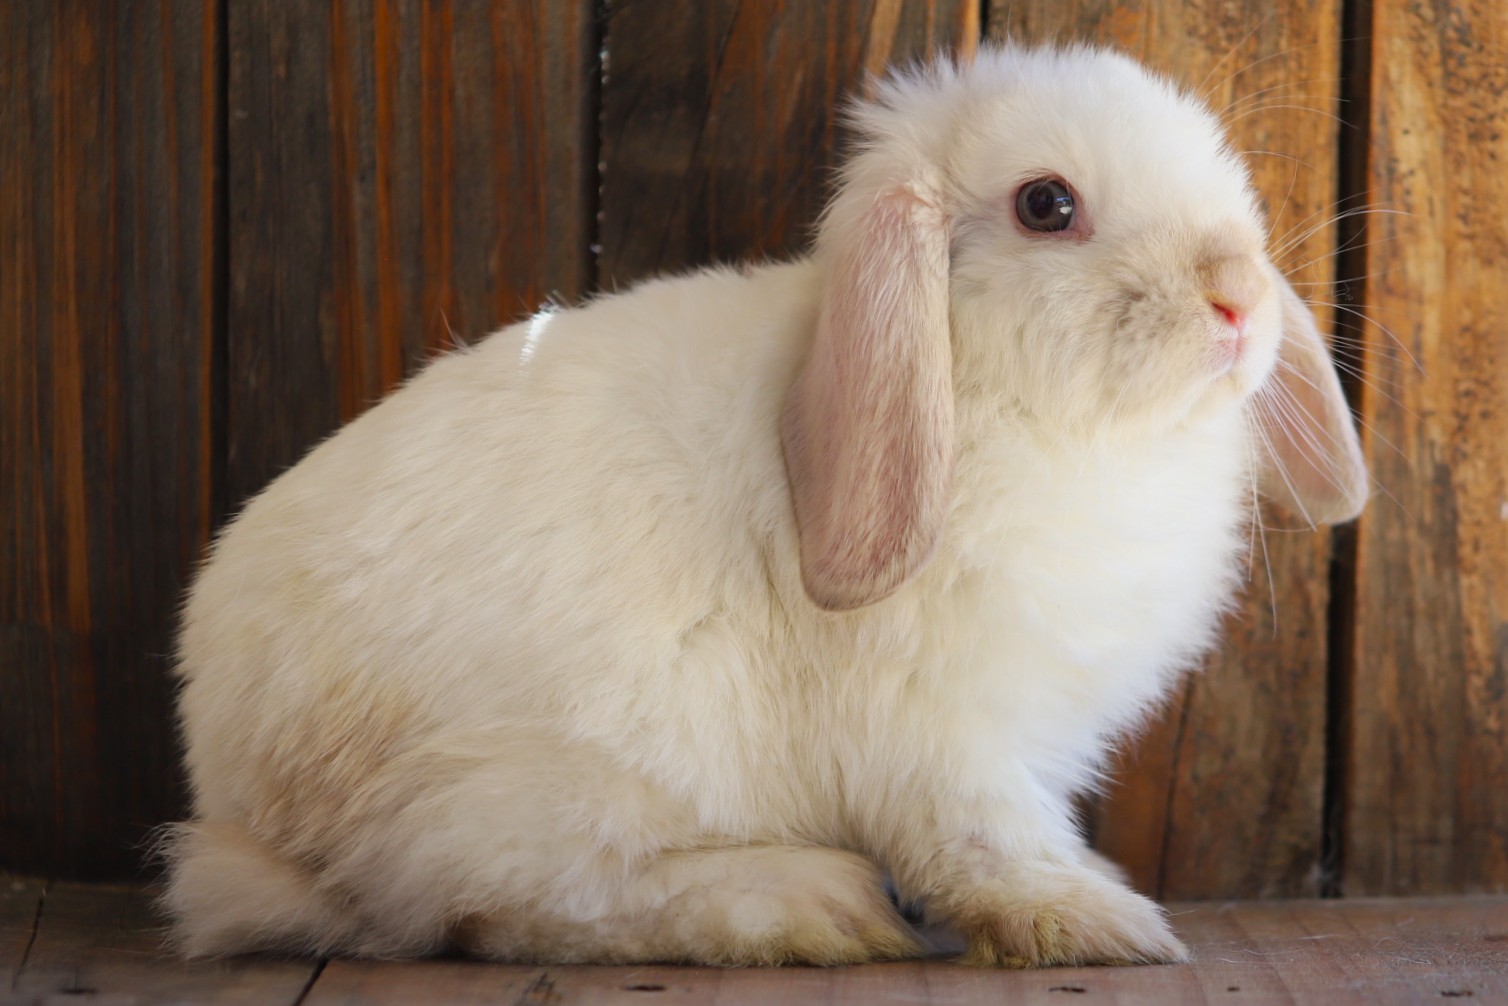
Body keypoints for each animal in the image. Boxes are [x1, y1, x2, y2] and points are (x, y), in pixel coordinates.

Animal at [161, 43, 1367, 968]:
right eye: (1047, 204)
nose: (1238, 299)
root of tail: (251, 806)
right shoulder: (945, 736)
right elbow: (990, 846)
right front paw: (1102, 921)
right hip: (547, 781)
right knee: (500, 906)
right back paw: (810, 905)